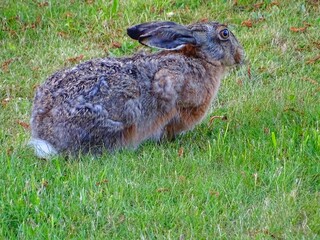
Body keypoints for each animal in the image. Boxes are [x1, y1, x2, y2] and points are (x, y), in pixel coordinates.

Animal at [29, 21, 245, 159]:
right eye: (224, 34)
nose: (240, 56)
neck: (199, 58)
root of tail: (45, 132)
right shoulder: (171, 85)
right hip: (122, 117)